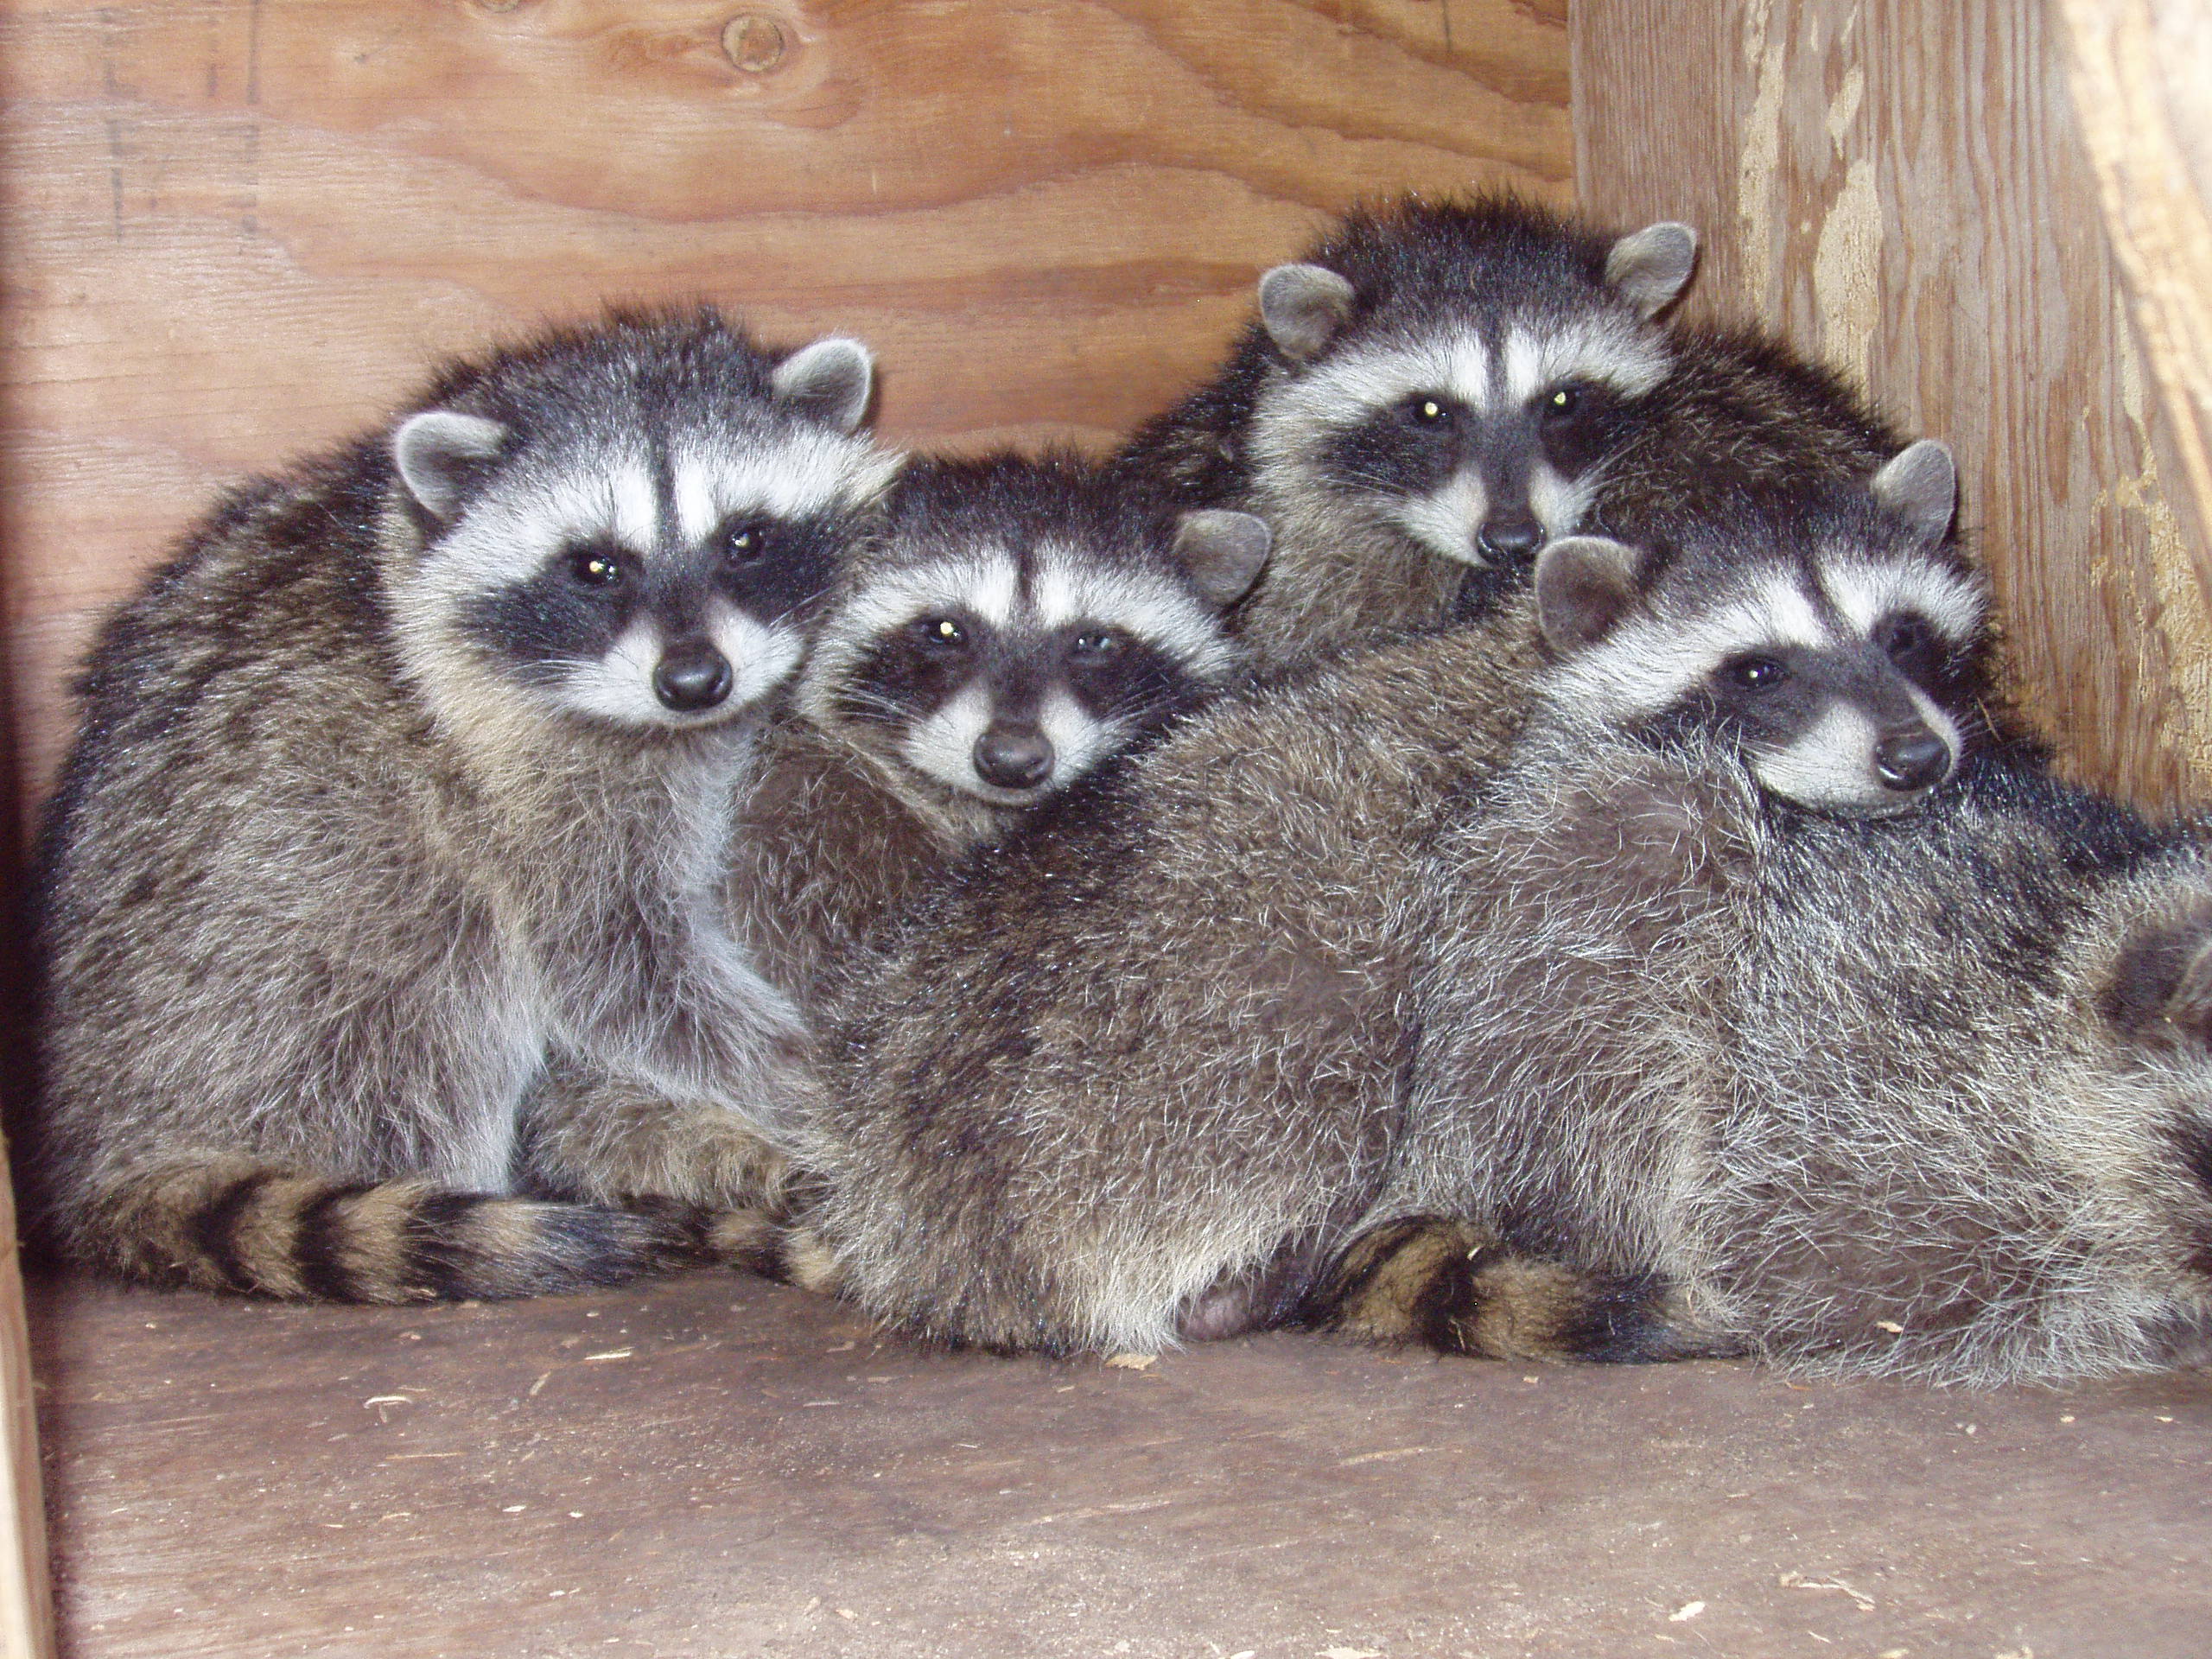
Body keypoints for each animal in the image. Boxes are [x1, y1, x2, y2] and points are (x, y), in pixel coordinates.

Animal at [30, 308, 899, 1303]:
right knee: (440, 996)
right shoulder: (517, 782)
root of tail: (101, 1138)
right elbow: (622, 967)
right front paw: (808, 1070)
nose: (694, 682)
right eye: (595, 567)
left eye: (746, 539)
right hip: (299, 946)